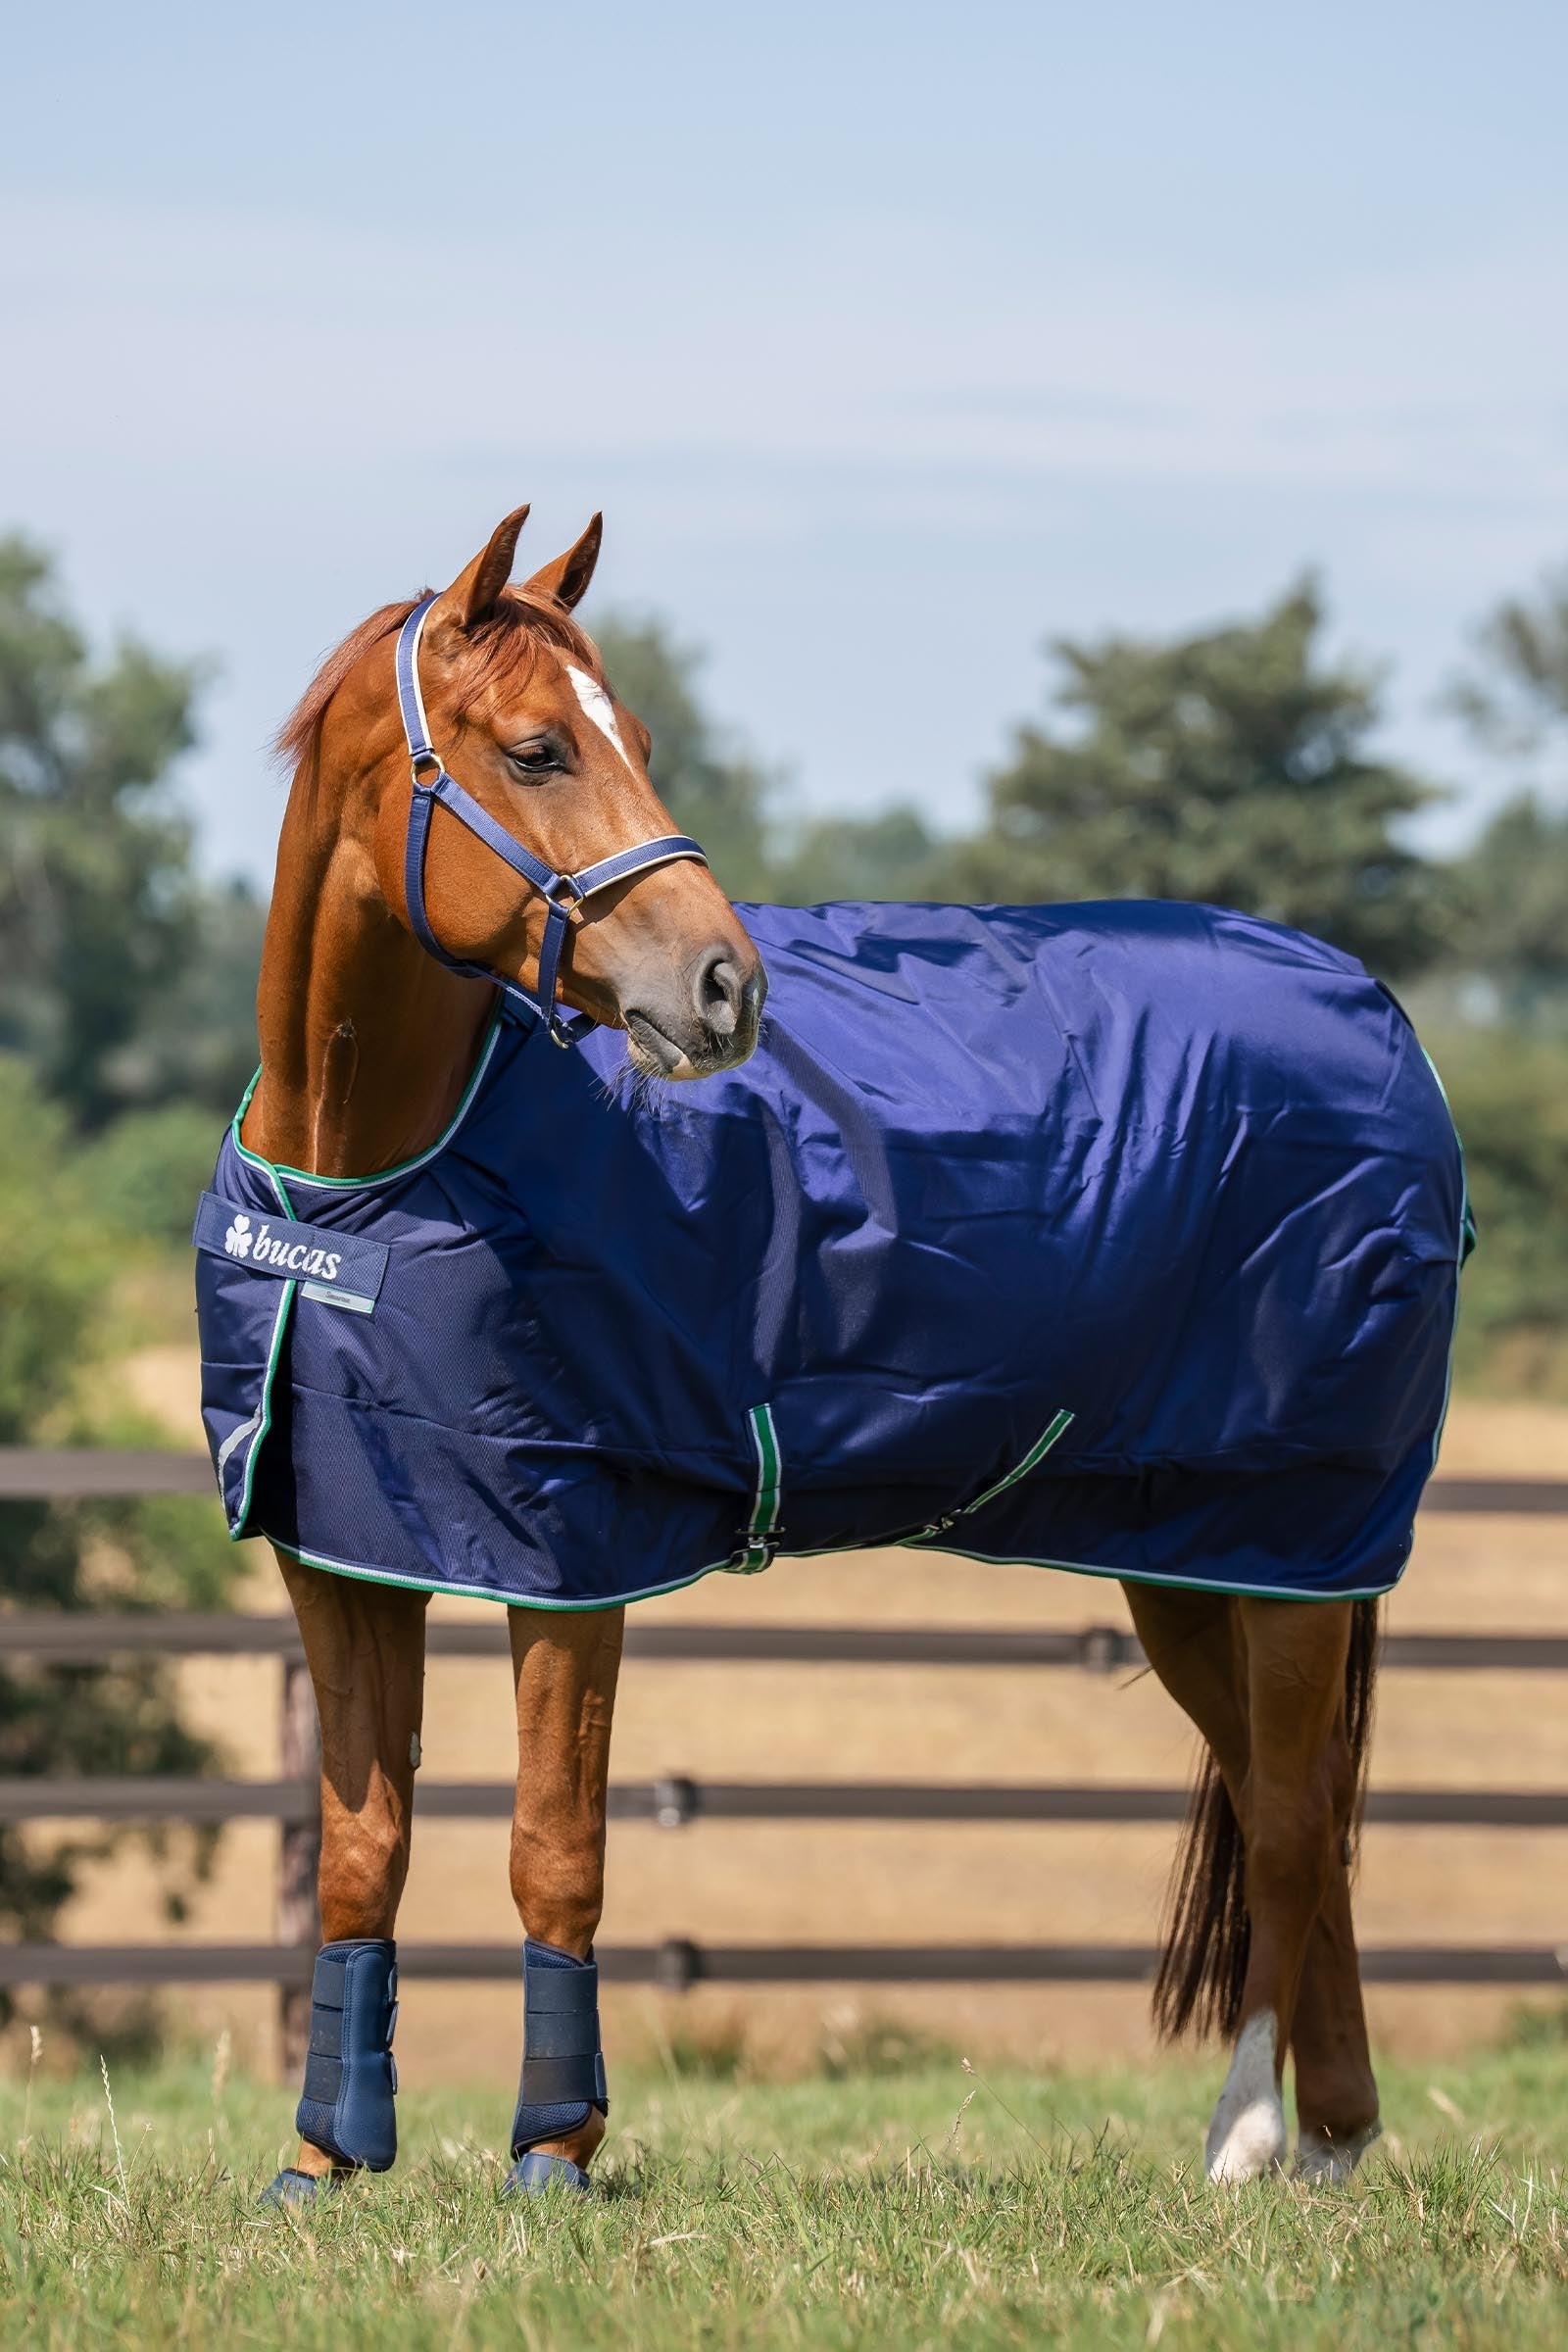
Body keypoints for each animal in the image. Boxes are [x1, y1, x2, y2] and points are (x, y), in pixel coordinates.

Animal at [195, 505, 1467, 2206]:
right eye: (537, 748)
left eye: (636, 736)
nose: (725, 986)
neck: (365, 1183)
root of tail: (1383, 1021)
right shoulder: (343, 1548)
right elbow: (359, 1848)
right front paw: (325, 2164)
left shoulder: (569, 1551)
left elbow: (554, 1846)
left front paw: (554, 2155)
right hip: (1200, 1553)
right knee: (1295, 1803)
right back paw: (1302, 2136)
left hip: (1298, 1526)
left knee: (1284, 1818)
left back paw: (1278, 2141)